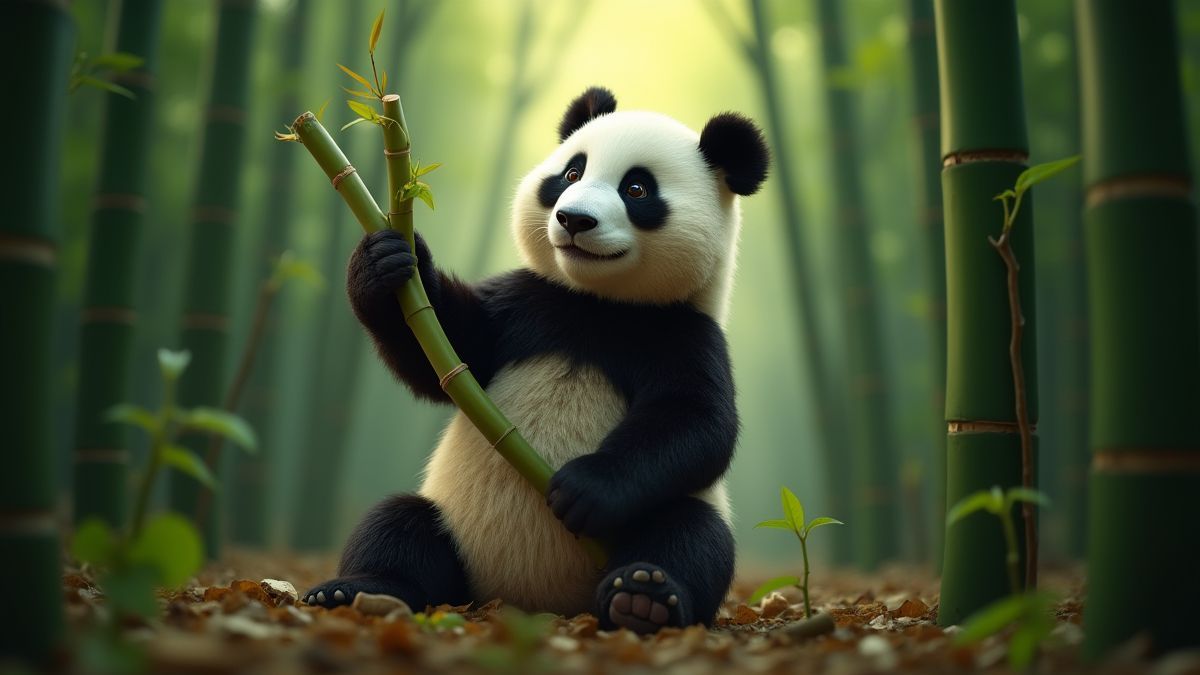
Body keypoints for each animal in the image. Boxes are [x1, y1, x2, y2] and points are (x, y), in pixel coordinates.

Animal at [304, 86, 769, 634]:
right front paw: (385, 261)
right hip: (453, 534)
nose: (575, 219)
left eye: (636, 189)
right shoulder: (524, 305)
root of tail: (530, 601)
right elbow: (441, 353)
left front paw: (586, 489)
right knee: (397, 524)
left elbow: (698, 420)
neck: (595, 302)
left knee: (692, 534)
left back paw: (643, 598)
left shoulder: (682, 333)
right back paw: (355, 588)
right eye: (571, 173)